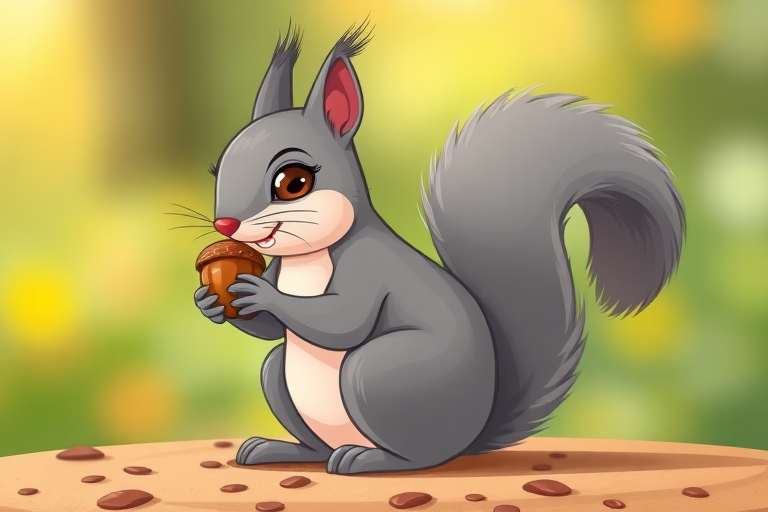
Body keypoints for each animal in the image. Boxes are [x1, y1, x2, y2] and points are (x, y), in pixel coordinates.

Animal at [194, 20, 686, 476]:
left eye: (293, 182)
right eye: (218, 169)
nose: (225, 224)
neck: (307, 257)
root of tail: (467, 438)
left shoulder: (369, 268)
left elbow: (343, 322)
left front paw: (261, 294)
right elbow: (270, 334)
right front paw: (209, 302)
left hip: (376, 377)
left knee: (415, 454)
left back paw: (367, 459)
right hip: (280, 376)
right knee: (305, 420)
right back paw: (282, 449)